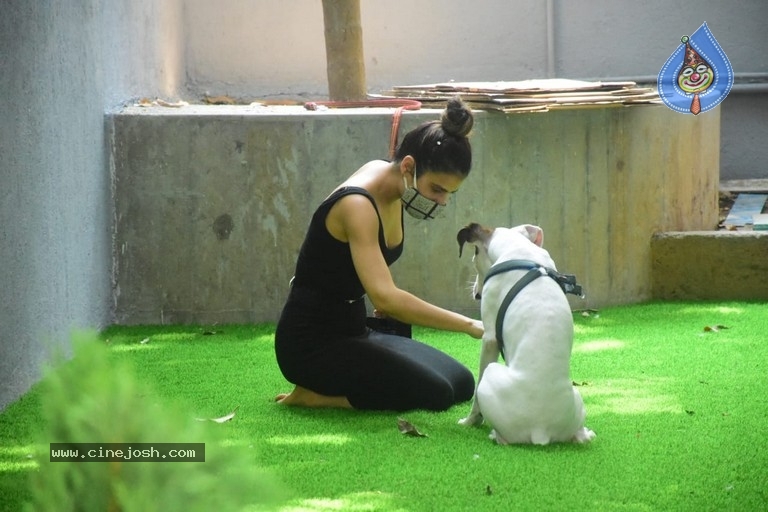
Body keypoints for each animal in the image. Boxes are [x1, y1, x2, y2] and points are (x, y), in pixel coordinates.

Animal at [456, 223, 592, 444]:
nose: (476, 293)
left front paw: (469, 421)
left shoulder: (490, 339)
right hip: (576, 398)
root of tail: (541, 432)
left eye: (475, 253)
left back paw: (495, 435)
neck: (518, 249)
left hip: (491, 373)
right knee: (579, 434)